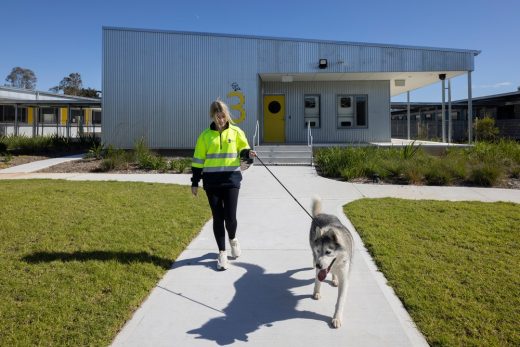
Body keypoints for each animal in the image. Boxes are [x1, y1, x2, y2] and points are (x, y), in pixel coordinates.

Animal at [308, 198, 354, 328]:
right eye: (318, 251)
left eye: (328, 252)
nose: (318, 265)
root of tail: (321, 214)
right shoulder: (319, 266)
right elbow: (318, 281)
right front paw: (316, 292)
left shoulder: (344, 278)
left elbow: (340, 301)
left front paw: (337, 318)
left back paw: (334, 279)